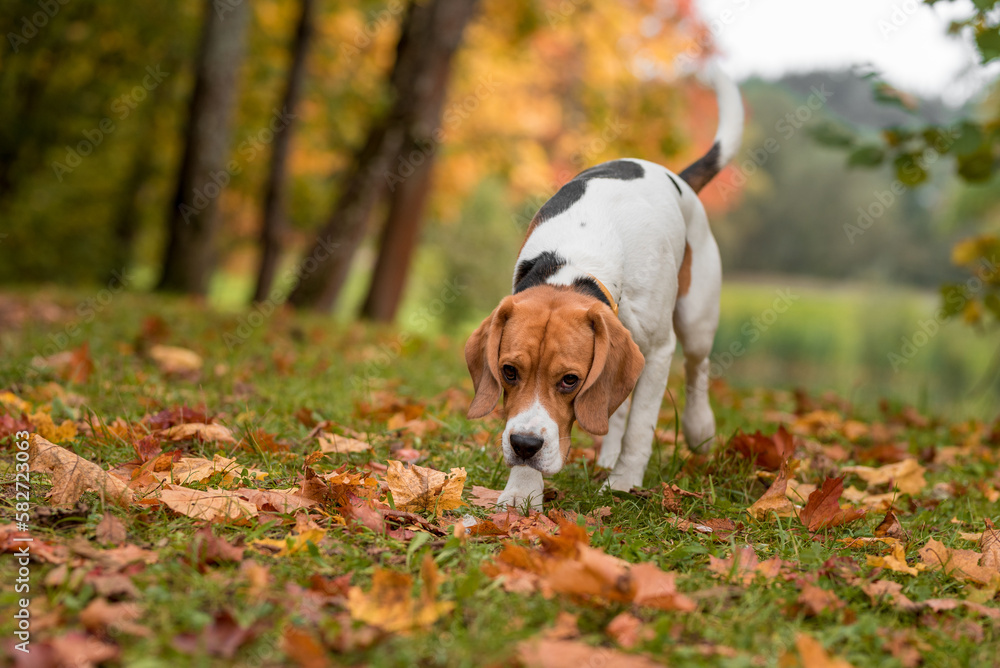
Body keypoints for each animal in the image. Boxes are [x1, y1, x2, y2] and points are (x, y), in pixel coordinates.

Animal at [462, 65, 744, 508]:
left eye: (569, 380)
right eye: (508, 371)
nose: (524, 445)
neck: (574, 262)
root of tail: (677, 177)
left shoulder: (659, 350)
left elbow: (641, 428)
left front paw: (625, 482)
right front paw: (521, 490)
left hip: (696, 318)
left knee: (697, 370)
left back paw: (699, 429)